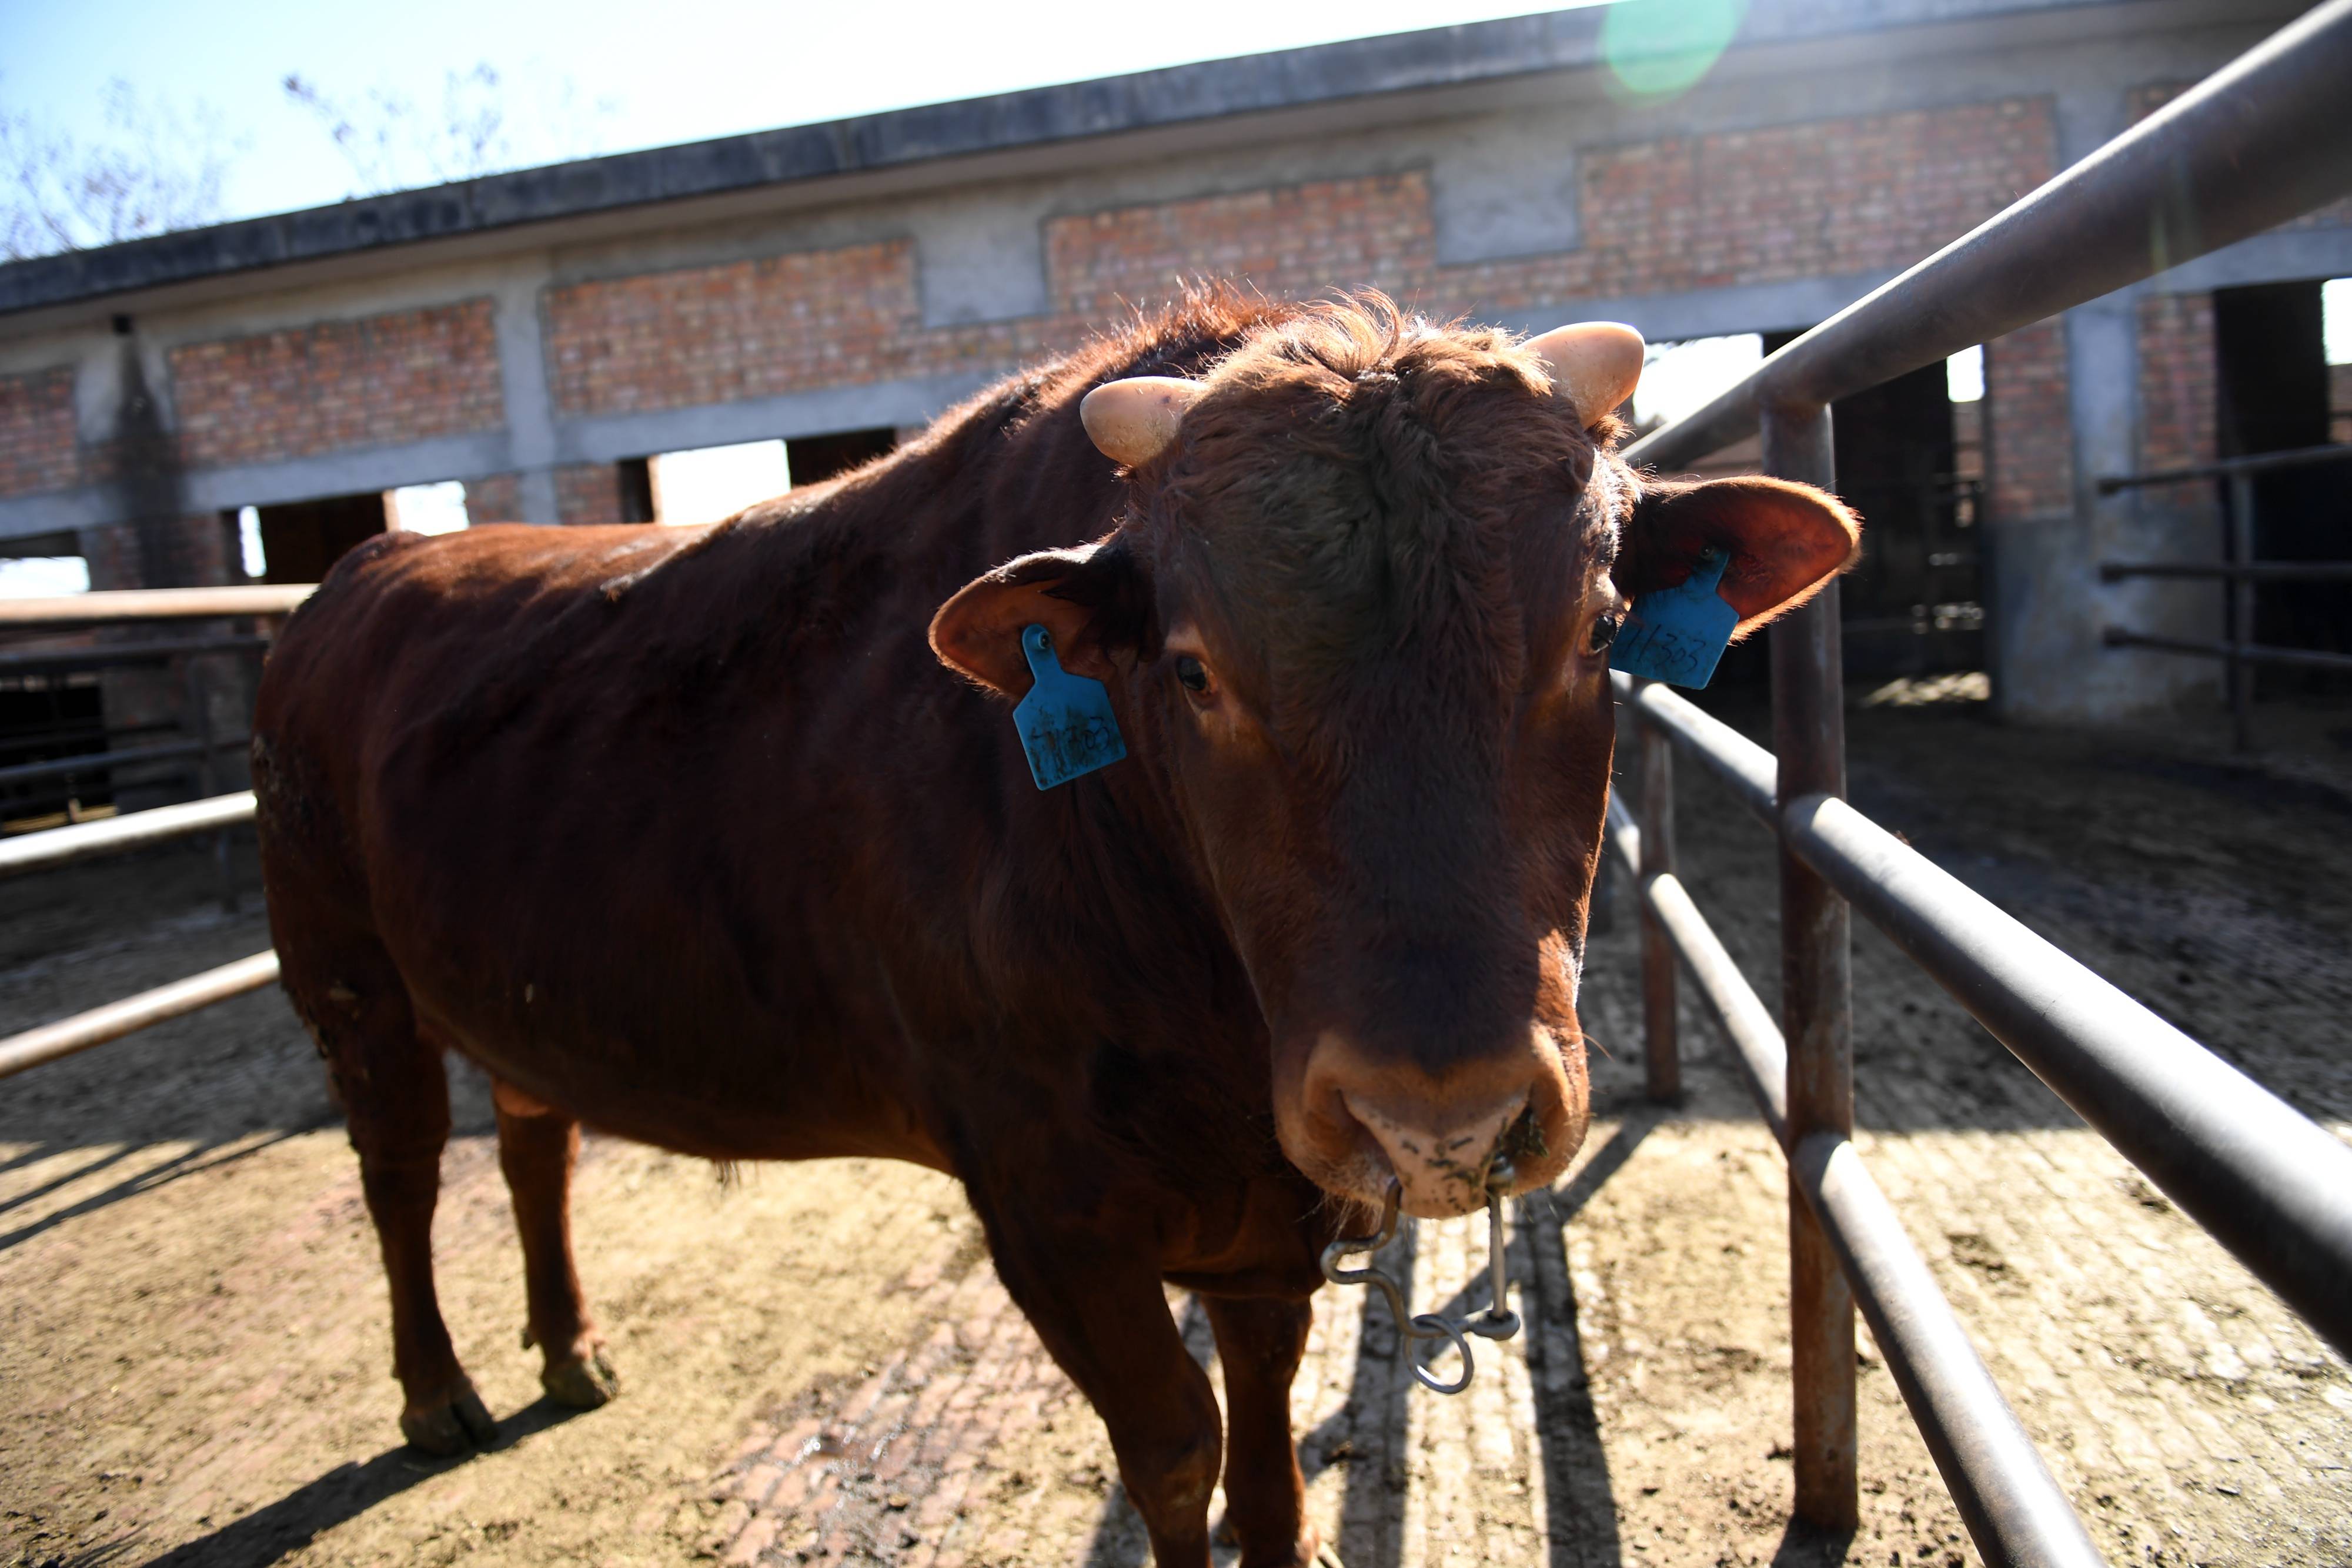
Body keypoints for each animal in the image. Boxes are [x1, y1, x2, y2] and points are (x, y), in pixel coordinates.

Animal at [253, 293, 1853, 1568]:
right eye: (1192, 671)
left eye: (1598, 630)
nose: (1437, 1114)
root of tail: (362, 573)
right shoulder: (1041, 1206)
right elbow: (1180, 1452)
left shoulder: (1265, 1215)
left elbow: (1263, 1439)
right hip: (346, 982)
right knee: (400, 1173)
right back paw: (436, 1389)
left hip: (499, 992)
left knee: (532, 1139)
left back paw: (572, 1347)